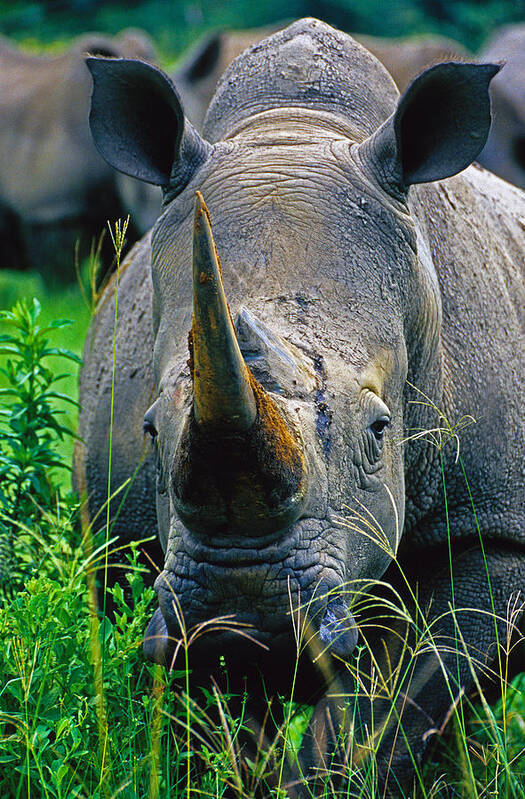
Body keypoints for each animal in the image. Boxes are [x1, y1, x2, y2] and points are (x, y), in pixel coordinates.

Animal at [79, 21, 524, 796]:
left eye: (378, 433)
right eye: (151, 430)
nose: (242, 614)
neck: (294, 130)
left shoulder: (492, 527)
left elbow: (388, 710)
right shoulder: (139, 556)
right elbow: (213, 727)